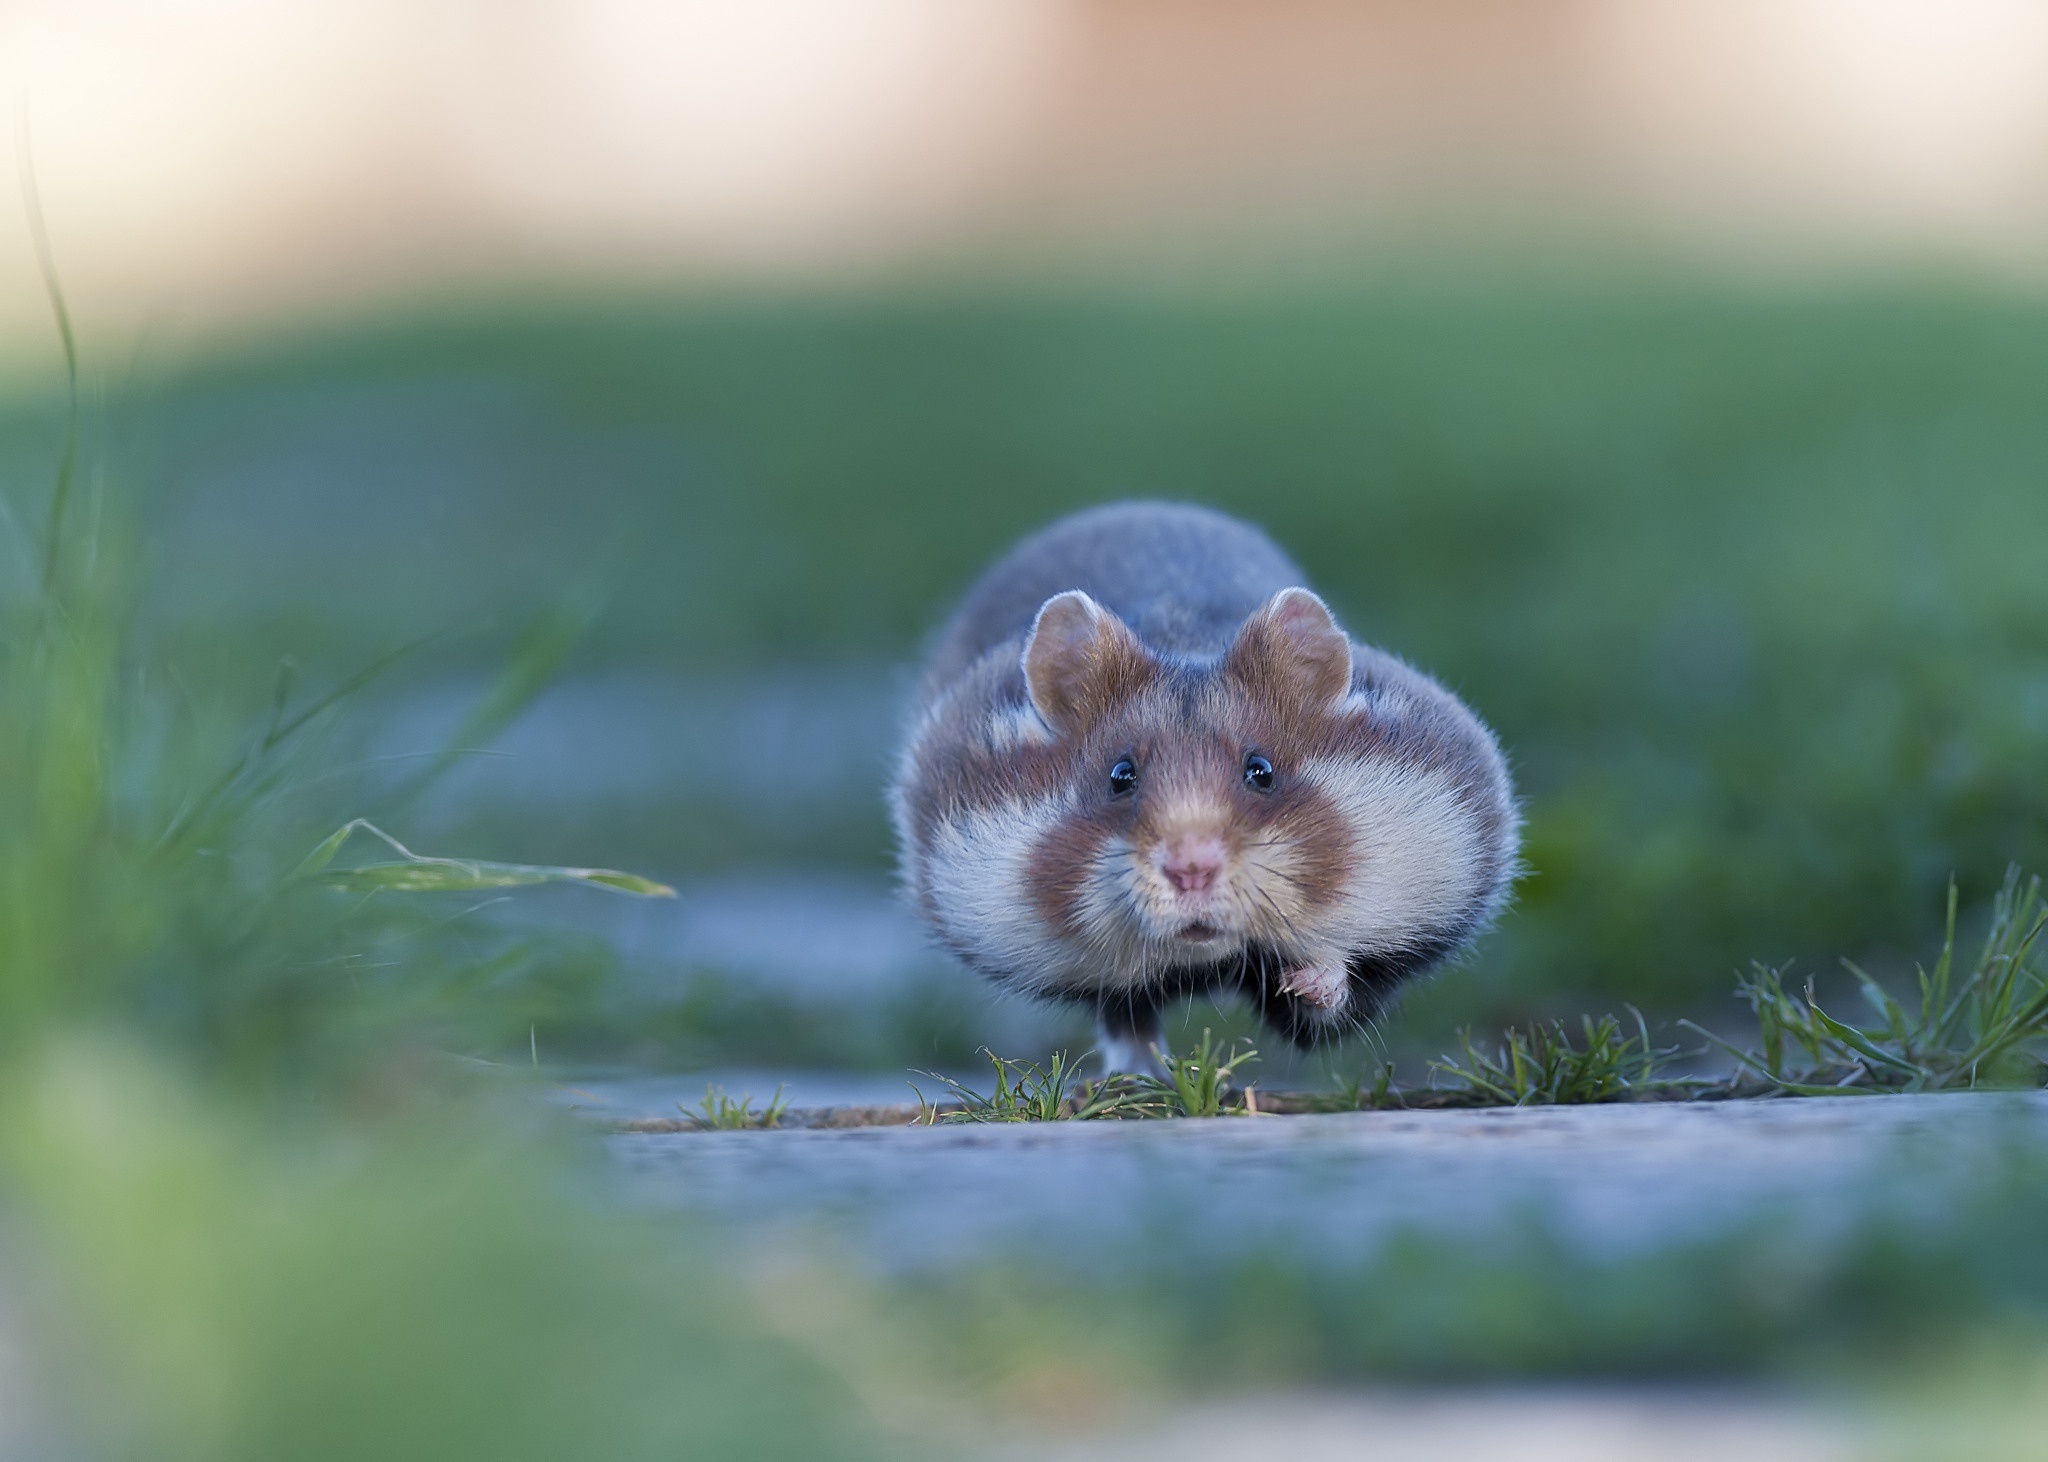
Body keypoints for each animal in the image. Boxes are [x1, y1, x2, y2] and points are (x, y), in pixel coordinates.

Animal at [888, 501, 1515, 1072]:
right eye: (1120, 777)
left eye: (1261, 770)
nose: (1191, 870)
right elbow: (1125, 1016)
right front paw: (1138, 1081)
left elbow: (1333, 992)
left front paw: (1305, 982)